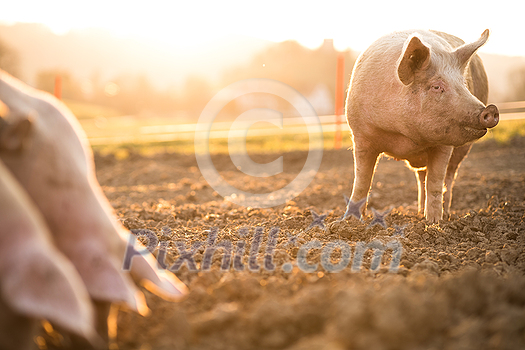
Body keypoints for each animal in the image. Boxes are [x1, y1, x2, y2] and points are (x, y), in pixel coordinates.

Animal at [346, 29, 498, 221]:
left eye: (464, 84)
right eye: (436, 86)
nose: (490, 110)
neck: (403, 135)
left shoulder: (444, 144)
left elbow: (435, 182)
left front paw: (433, 222)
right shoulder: (360, 135)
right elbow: (362, 180)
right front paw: (349, 220)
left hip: (462, 150)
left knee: (448, 177)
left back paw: (443, 215)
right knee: (422, 176)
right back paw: (418, 212)